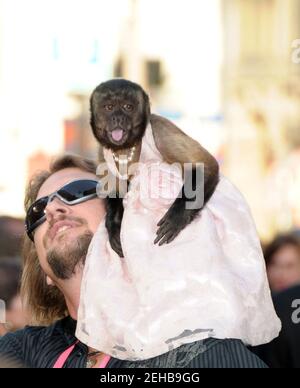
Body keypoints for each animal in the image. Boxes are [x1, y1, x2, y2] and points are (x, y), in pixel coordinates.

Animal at [90, 79, 219, 258]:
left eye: (127, 107)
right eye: (109, 107)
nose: (118, 118)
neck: (126, 148)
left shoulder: (160, 130)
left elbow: (206, 165)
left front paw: (177, 217)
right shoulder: (101, 151)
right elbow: (115, 189)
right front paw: (114, 227)